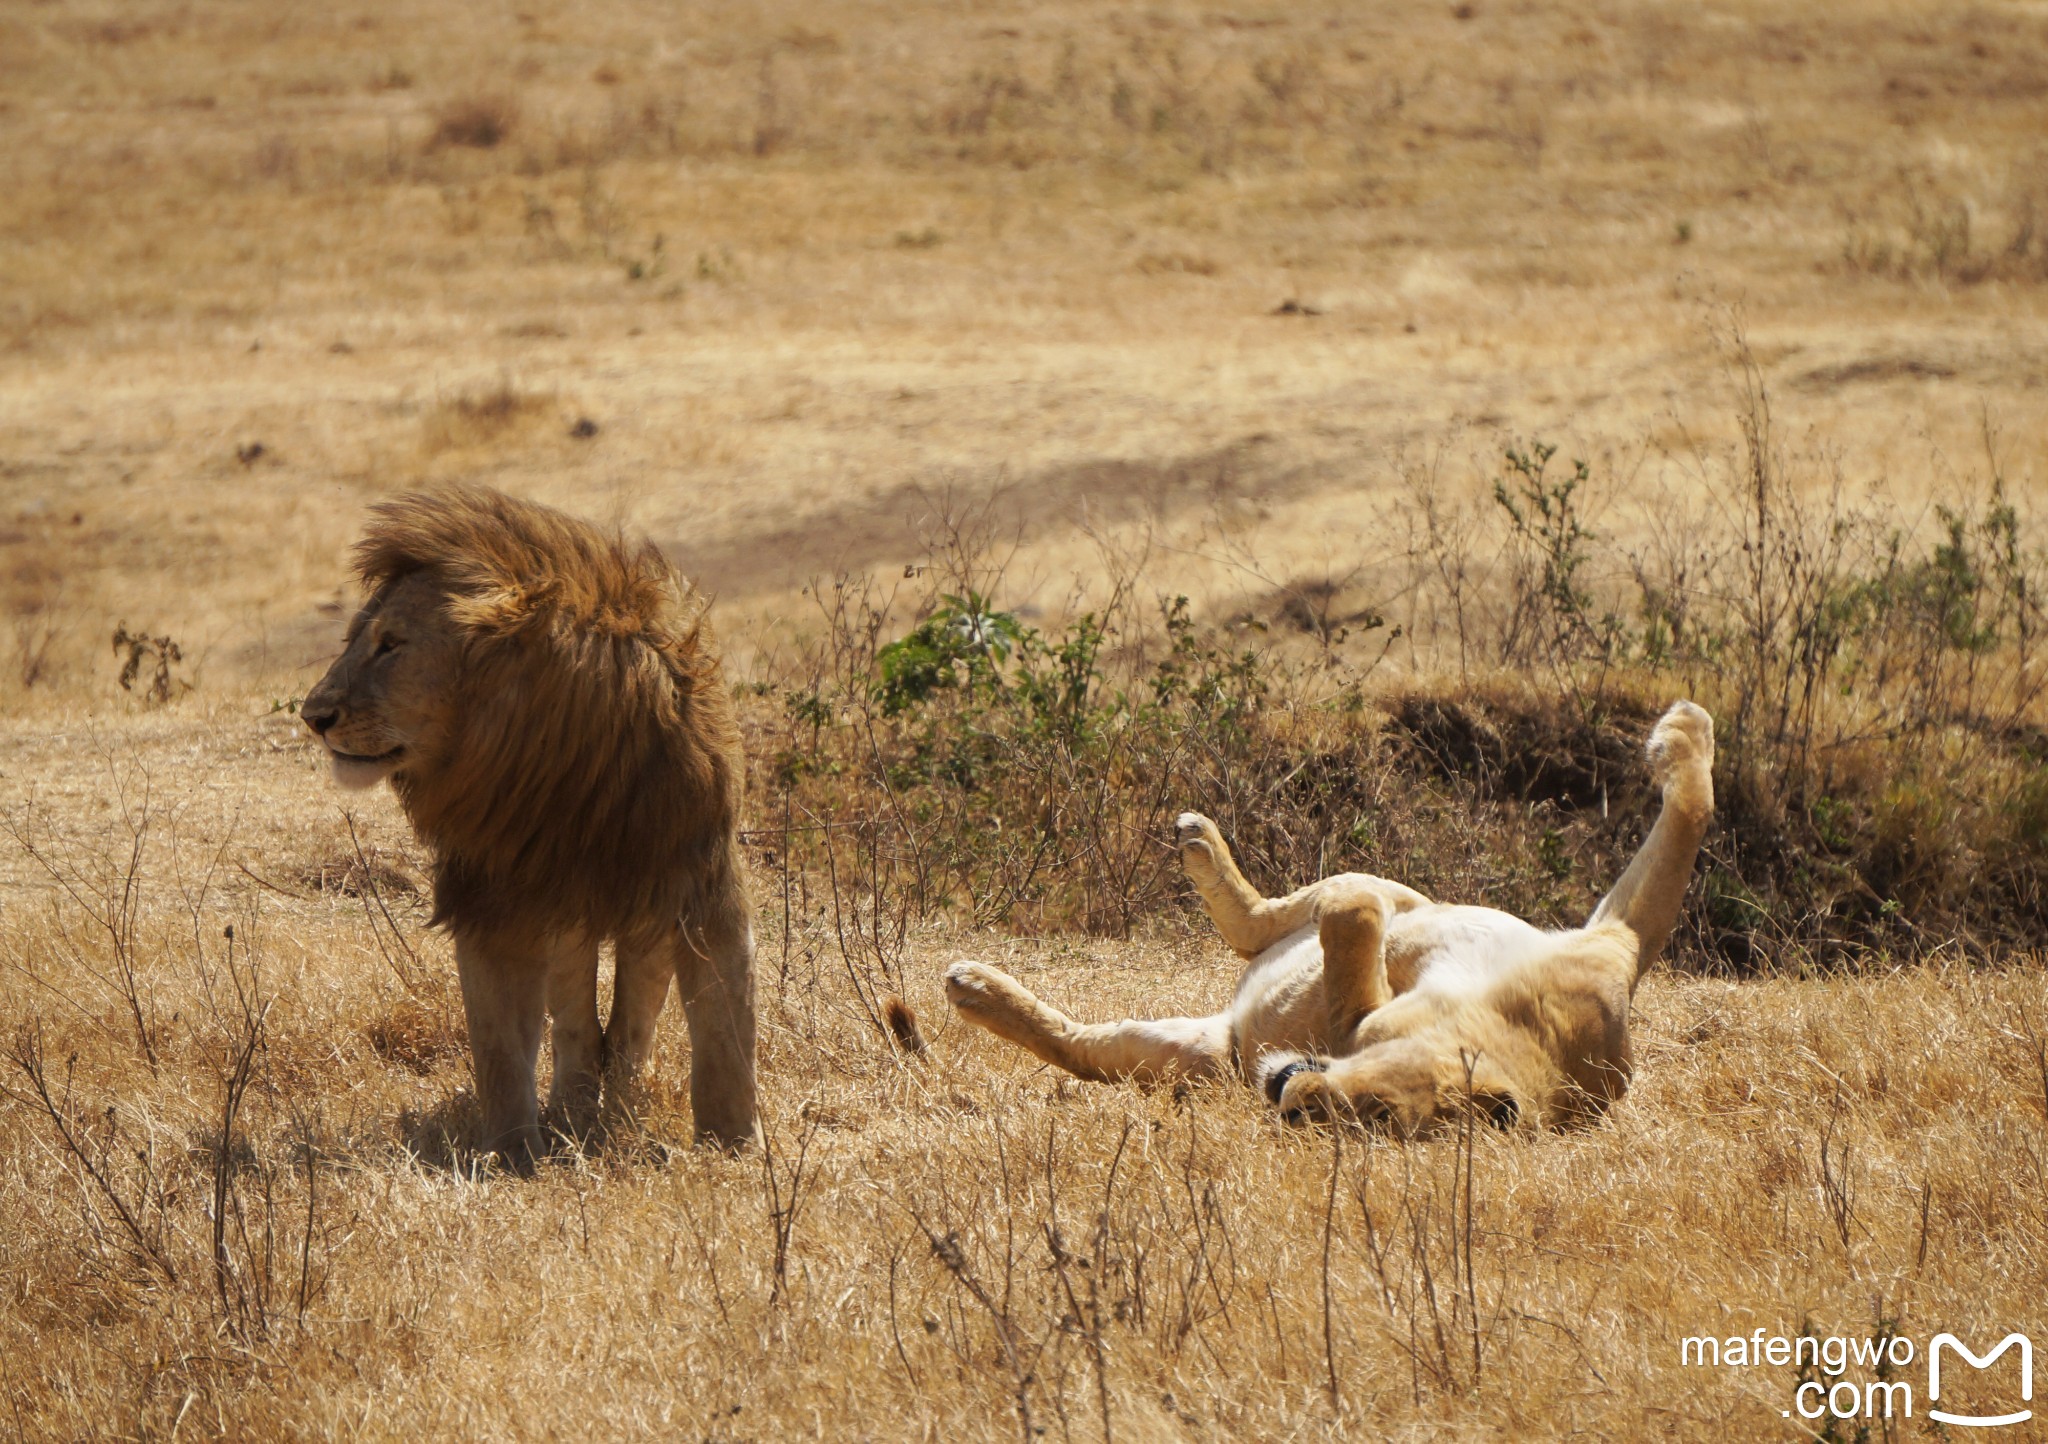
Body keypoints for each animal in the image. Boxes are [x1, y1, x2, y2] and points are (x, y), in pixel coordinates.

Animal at [299, 489, 757, 1163]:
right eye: (355, 640)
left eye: (391, 644)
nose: (314, 716)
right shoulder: (493, 898)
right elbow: (498, 1047)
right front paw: (513, 1156)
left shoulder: (698, 878)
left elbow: (725, 1031)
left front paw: (734, 1149)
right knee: (576, 1022)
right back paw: (573, 1111)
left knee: (632, 1020)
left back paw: (617, 1110)